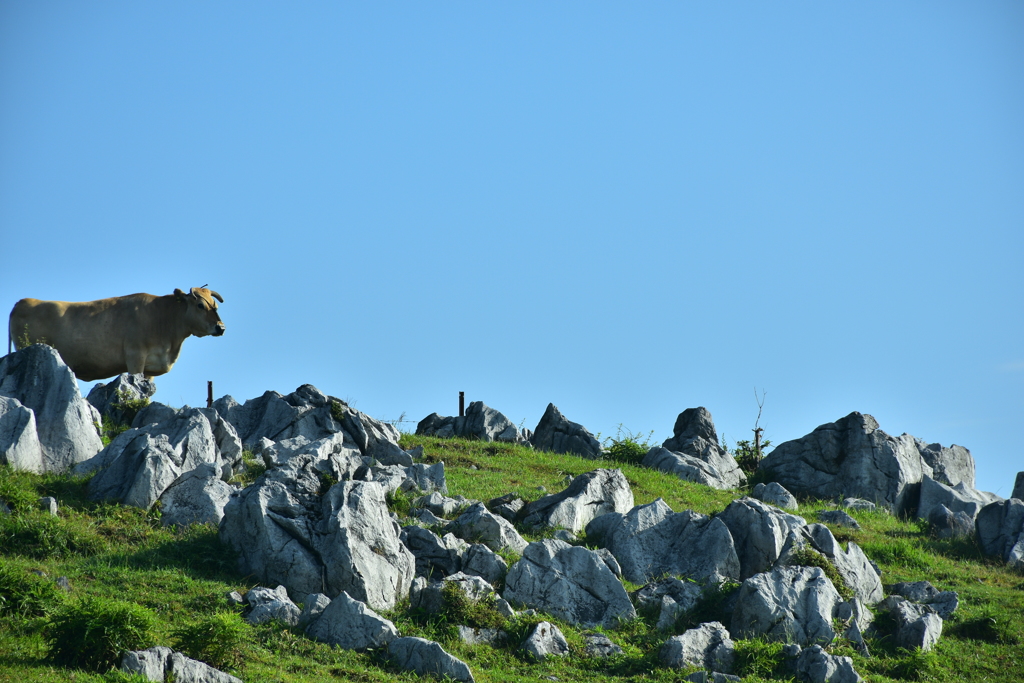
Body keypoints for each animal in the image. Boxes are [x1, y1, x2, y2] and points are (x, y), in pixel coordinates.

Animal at [8, 286, 226, 382]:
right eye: (200, 305)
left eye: (214, 305)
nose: (221, 327)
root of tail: (22, 301)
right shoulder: (135, 357)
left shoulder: (151, 367)